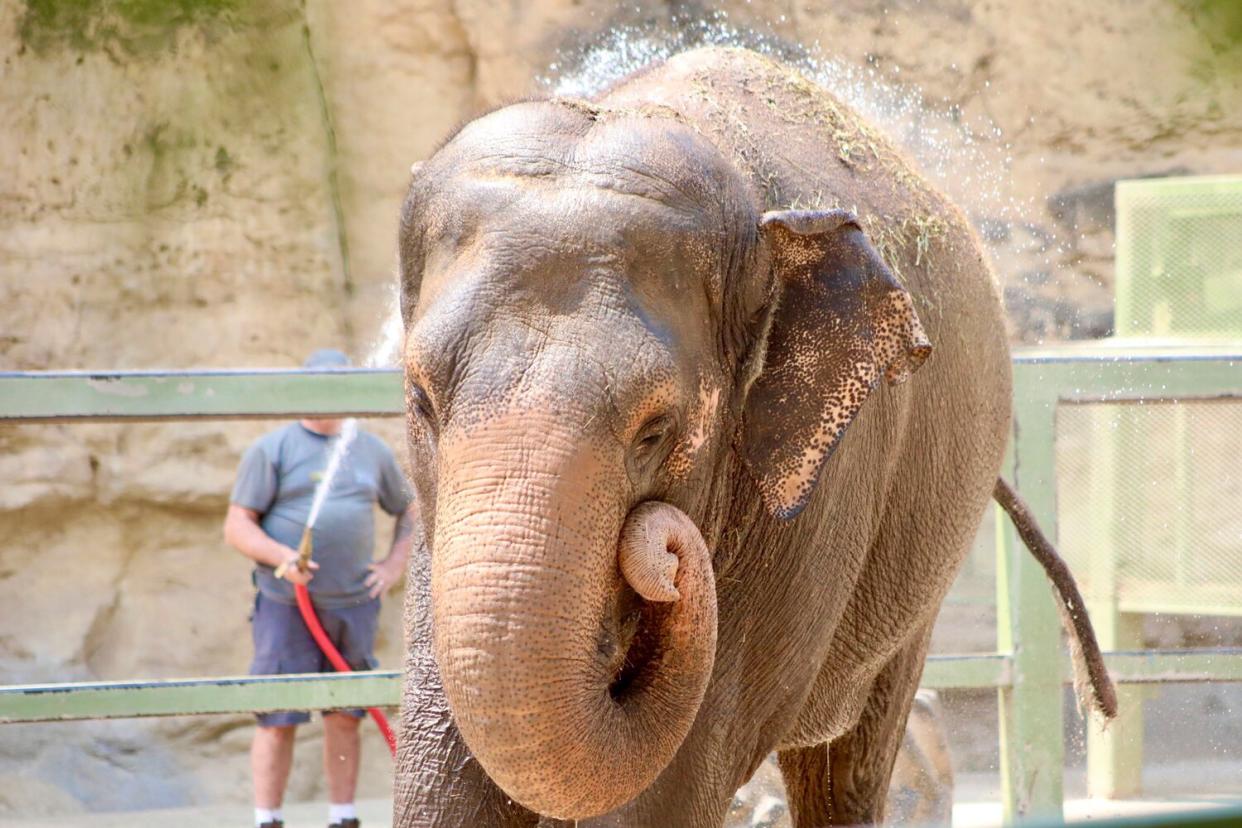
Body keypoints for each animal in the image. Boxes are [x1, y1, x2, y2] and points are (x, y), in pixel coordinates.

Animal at [387, 46, 1097, 828]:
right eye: (420, 401)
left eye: (655, 430)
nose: (664, 546)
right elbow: (443, 772)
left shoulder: (818, 497)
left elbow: (669, 783)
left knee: (852, 760)